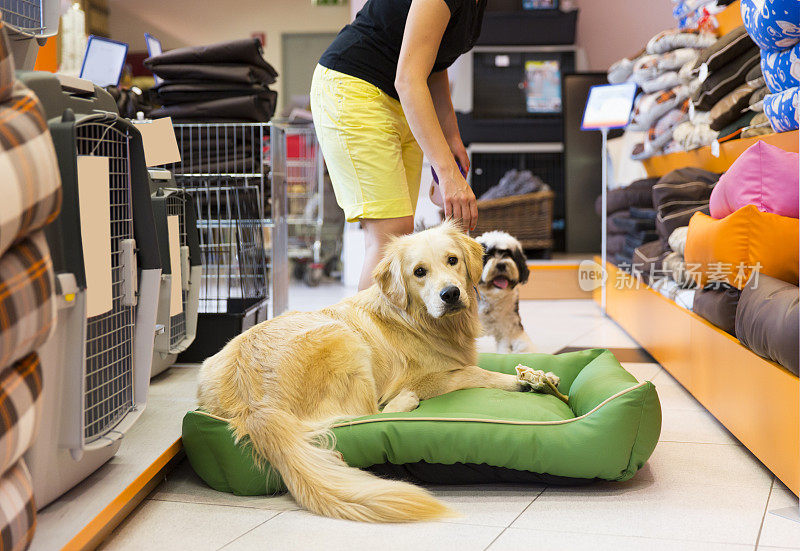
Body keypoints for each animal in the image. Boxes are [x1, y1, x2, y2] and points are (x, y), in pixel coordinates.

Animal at [198, 222, 528, 524]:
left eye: (452, 260)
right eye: (419, 272)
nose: (451, 294)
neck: (419, 319)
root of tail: (255, 405)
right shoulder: (424, 377)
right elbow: (474, 372)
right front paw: (519, 380)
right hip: (346, 341)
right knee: (368, 414)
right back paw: (406, 402)